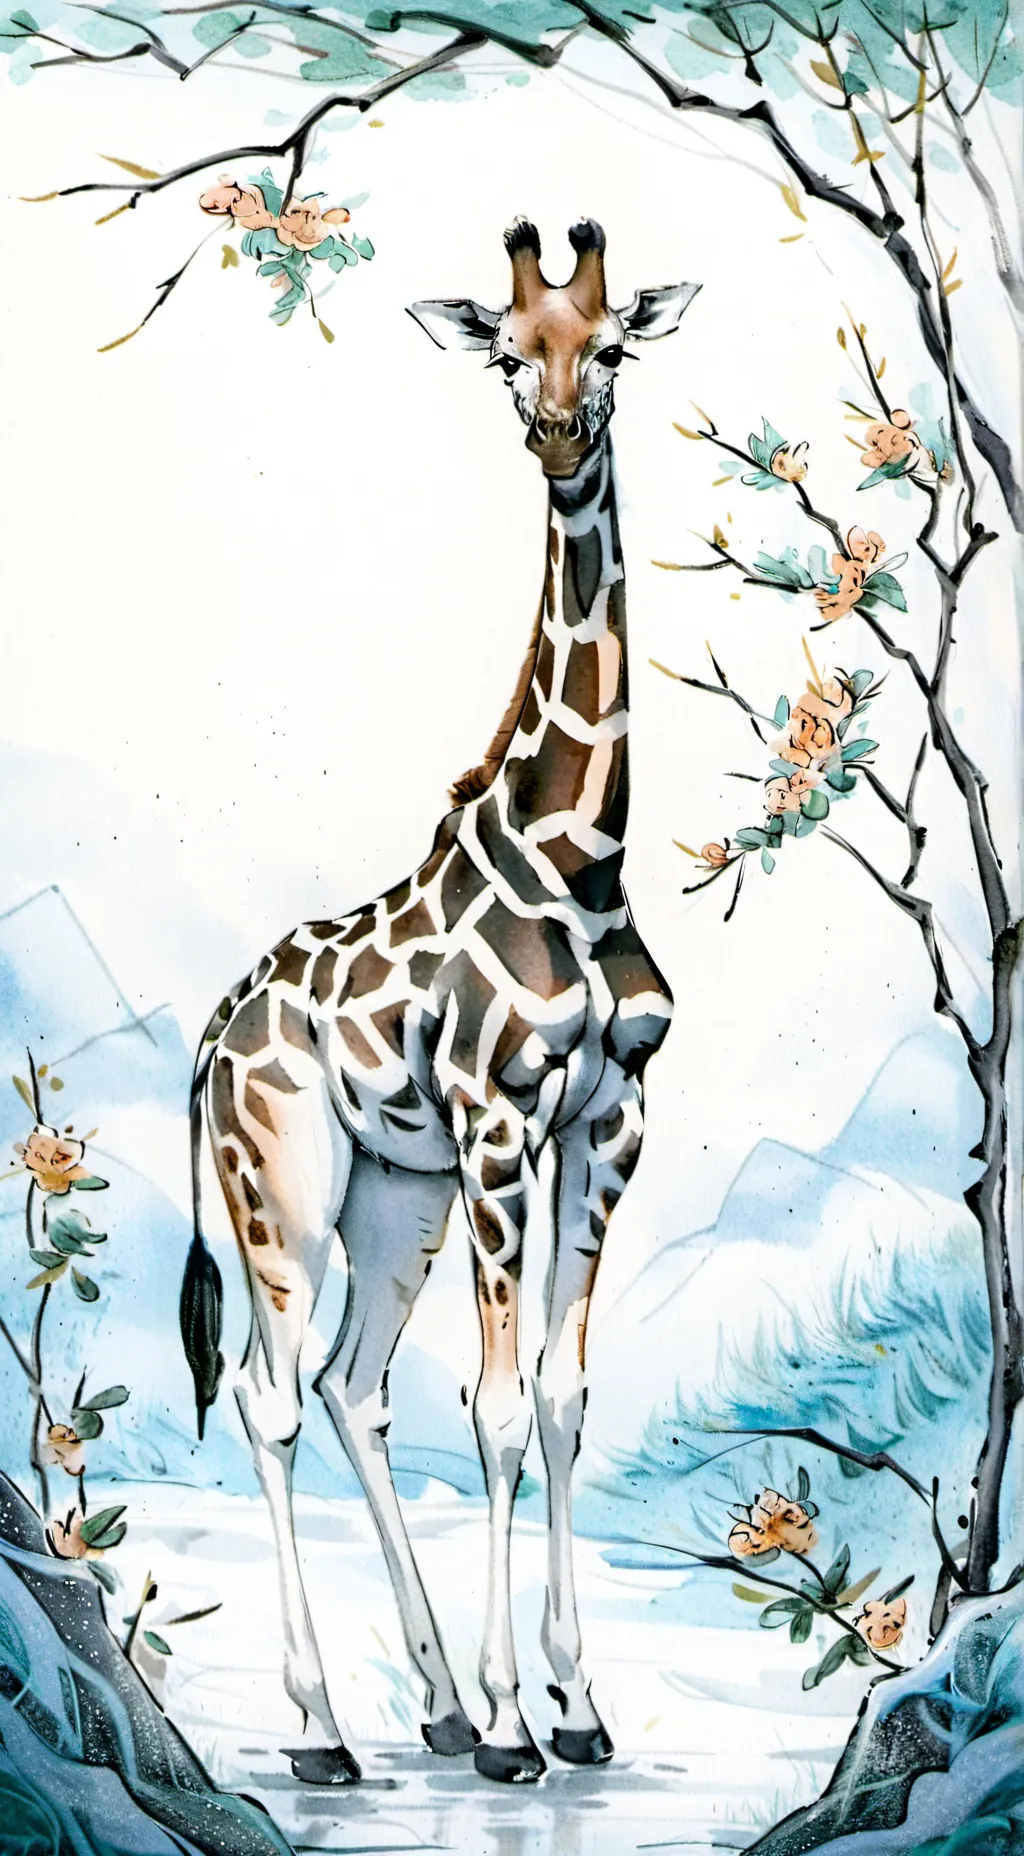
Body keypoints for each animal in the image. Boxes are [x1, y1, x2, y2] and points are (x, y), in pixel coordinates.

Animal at [180, 216, 699, 1788]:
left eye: (612, 344)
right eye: (505, 352)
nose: (557, 436)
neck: (582, 855)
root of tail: (211, 1042)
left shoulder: (610, 1124)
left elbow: (564, 1398)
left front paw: (570, 1708)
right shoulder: (497, 1123)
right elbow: (499, 1407)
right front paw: (528, 1725)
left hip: (389, 1199)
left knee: (354, 1384)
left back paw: (436, 1705)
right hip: (285, 1194)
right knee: (272, 1395)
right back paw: (324, 1732)